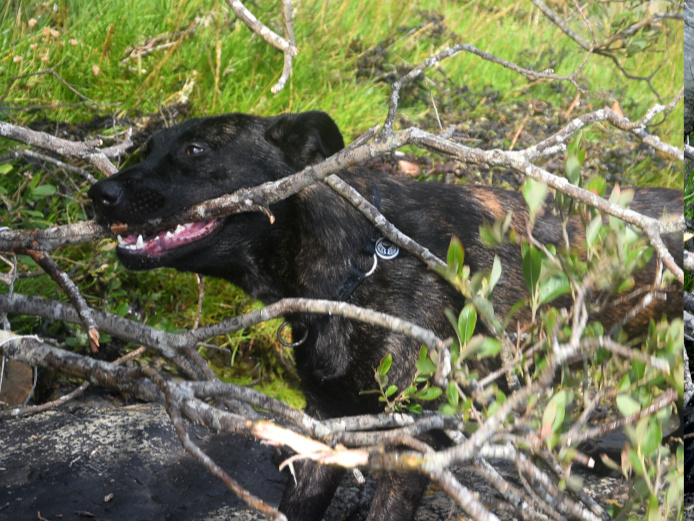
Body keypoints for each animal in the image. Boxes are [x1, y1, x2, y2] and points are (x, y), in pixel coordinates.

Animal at [89, 112, 684, 520]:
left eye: (195, 149)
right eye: (149, 147)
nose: (99, 194)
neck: (358, 265)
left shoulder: (413, 445)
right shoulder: (325, 429)